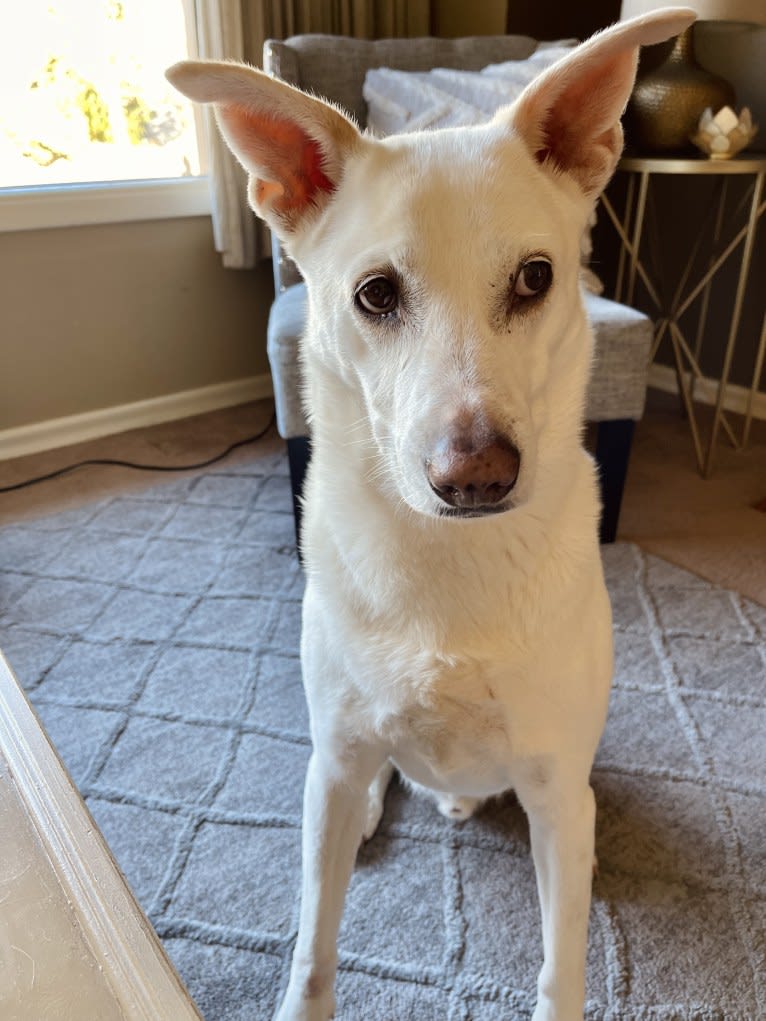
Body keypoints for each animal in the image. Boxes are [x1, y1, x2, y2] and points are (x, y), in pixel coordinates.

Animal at [167, 9, 694, 1021]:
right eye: (375, 294)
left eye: (535, 277)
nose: (477, 477)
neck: (451, 557)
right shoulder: (335, 764)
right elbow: (314, 942)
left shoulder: (559, 792)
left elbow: (561, 958)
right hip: (338, 762)